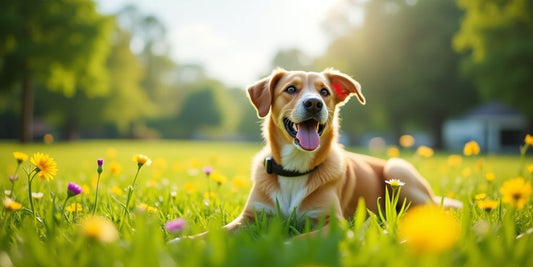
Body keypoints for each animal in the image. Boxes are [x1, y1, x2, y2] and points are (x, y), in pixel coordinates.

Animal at [188, 68, 458, 239]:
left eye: (324, 92)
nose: (314, 103)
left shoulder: (334, 223)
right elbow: (214, 233)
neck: (295, 169)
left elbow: (298, 239)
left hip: (397, 169)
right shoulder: (251, 217)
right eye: (291, 89)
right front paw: (182, 241)